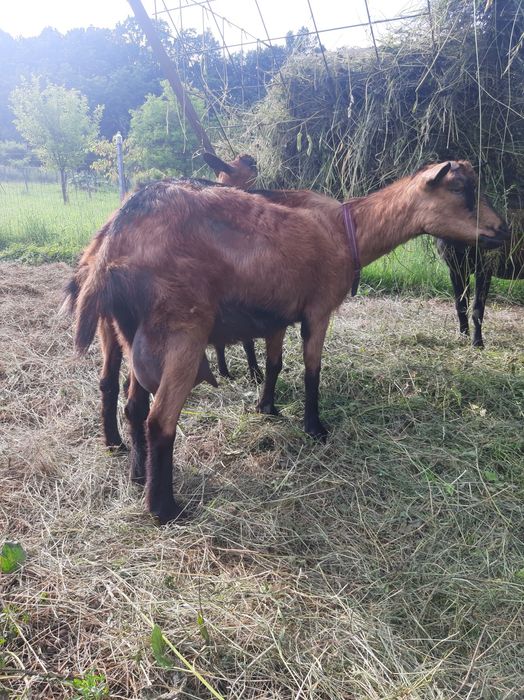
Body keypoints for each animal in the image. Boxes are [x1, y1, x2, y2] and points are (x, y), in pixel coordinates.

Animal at [64, 153, 260, 451]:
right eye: (247, 167)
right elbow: (248, 339)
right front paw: (253, 373)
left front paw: (226, 370)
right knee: (135, 399)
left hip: (107, 323)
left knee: (108, 381)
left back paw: (114, 442)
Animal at [437, 216, 523, 347]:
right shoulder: (456, 270)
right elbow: (461, 306)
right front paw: (463, 336)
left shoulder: (484, 269)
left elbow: (477, 309)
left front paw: (477, 343)